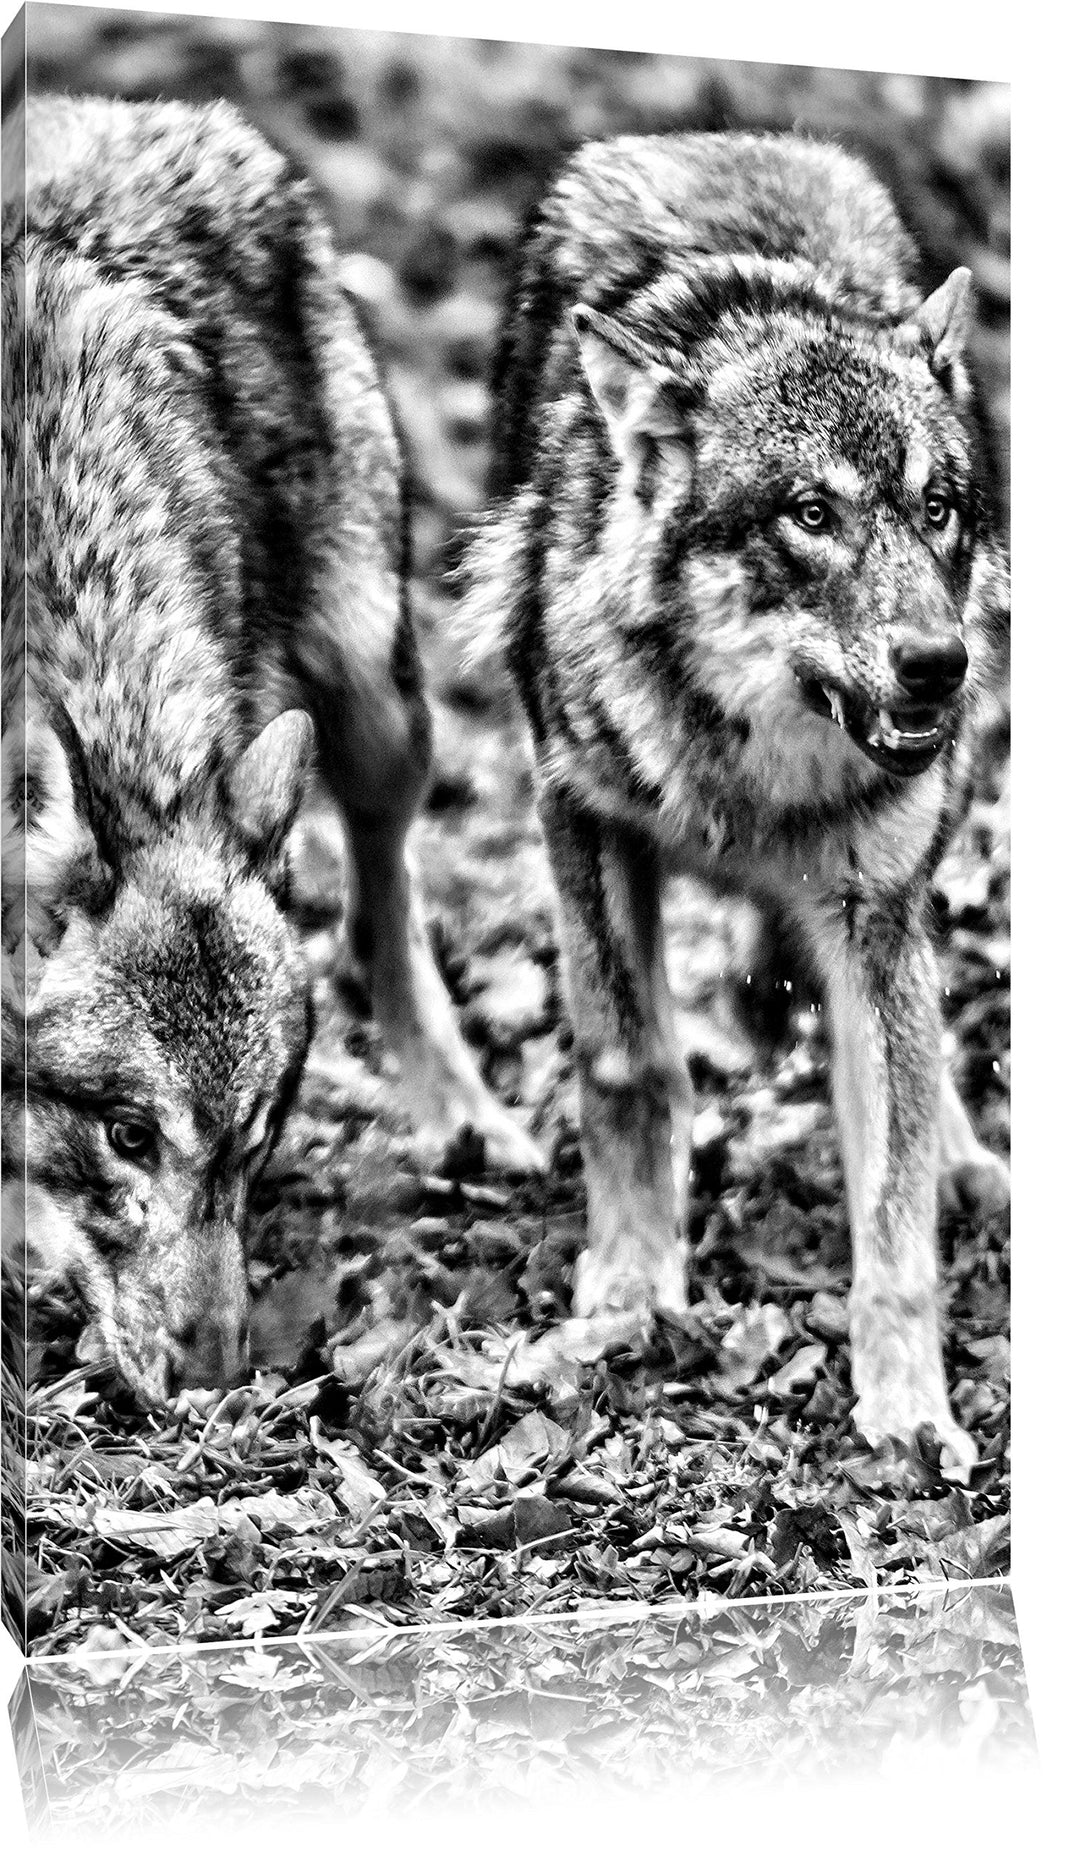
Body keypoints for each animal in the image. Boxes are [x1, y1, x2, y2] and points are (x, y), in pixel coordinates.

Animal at [1, 95, 539, 1407]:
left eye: (256, 1141)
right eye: (129, 1134)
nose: (214, 1378)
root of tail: (174, 117)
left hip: (373, 700)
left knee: (386, 901)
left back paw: (465, 1109)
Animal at [466, 131, 1010, 1476]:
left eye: (937, 508)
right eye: (810, 514)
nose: (938, 664)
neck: (754, 783)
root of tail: (717, 134)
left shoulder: (876, 912)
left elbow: (894, 1195)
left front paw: (908, 1408)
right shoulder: (582, 818)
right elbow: (631, 1066)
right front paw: (626, 1293)